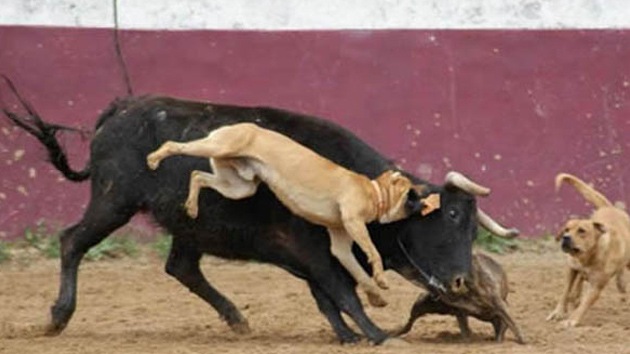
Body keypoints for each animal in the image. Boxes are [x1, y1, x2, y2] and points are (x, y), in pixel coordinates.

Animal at [149, 123, 444, 306]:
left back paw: (191, 206)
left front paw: (375, 295)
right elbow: (373, 253)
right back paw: (154, 157)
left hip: (238, 186)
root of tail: (239, 125)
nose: (428, 190)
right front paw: (381, 280)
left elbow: (357, 270)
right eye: (410, 188)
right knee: (175, 145)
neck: (374, 192)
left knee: (197, 175)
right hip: (220, 148)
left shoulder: (341, 240)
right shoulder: (354, 222)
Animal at [548, 174, 630, 326]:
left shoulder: (597, 285)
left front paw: (572, 320)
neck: (589, 257)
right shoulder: (571, 268)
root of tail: (609, 207)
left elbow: (585, 303)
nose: (565, 238)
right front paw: (558, 312)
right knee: (579, 281)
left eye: (582, 231)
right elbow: (565, 292)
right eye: (566, 229)